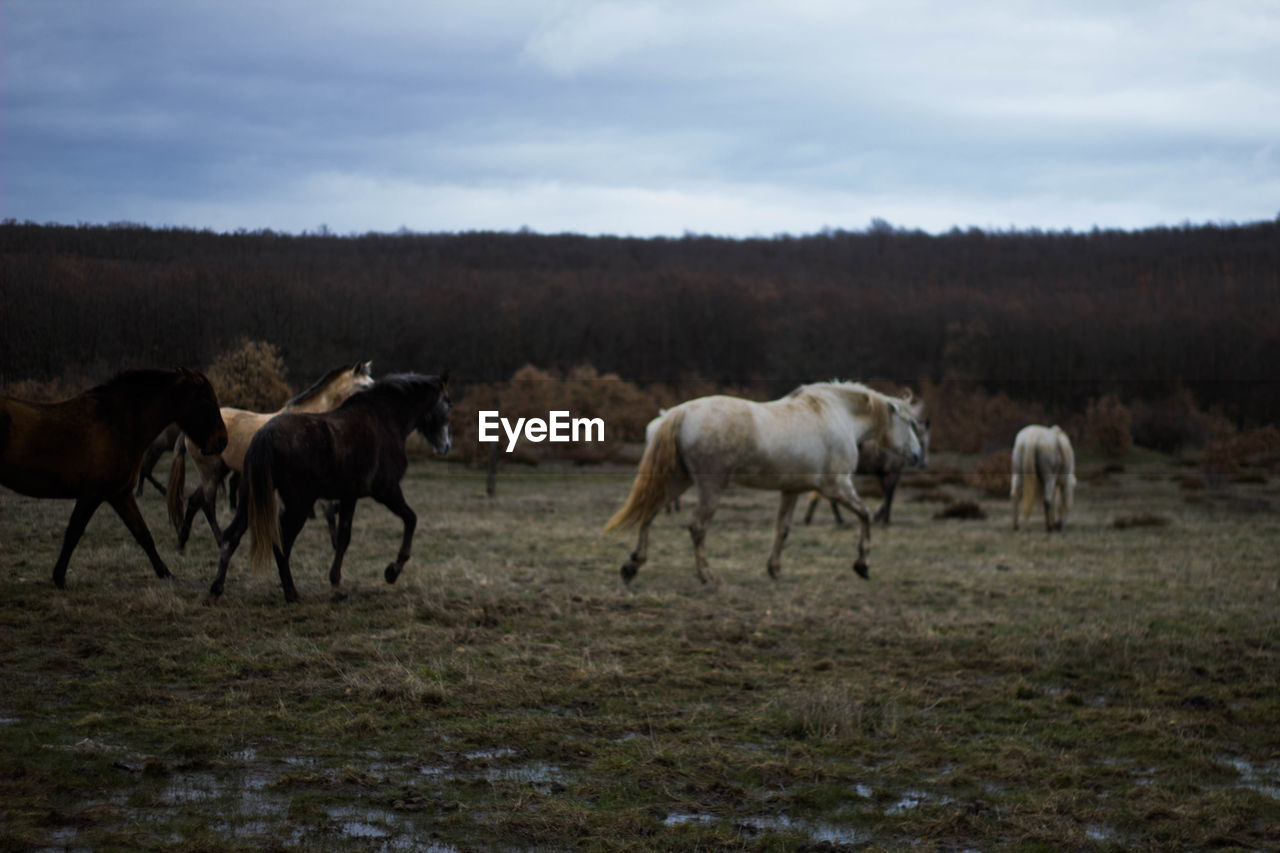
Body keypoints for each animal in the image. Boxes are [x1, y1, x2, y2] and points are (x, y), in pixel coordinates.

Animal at [0, 368, 227, 589]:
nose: (223, 440)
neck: (119, 423)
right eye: (207, 401)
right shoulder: (91, 494)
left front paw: (166, 574)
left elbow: (143, 534)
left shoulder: (120, 494)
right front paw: (59, 578)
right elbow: (73, 533)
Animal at [167, 361, 373, 548]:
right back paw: (219, 541)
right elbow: (327, 511)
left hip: (219, 471)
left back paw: (182, 542)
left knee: (195, 501)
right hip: (210, 472)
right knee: (207, 505)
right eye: (364, 385)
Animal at [208, 368, 450, 601]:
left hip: (252, 498)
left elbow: (343, 538)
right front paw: (392, 571)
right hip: (298, 505)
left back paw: (216, 589)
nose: (446, 446)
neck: (385, 419)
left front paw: (335, 581)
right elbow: (411, 519)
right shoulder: (386, 490)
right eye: (447, 403)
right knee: (282, 543)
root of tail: (264, 436)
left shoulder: (349, 496)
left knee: (231, 536)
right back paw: (291, 593)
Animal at [604, 379, 926, 584]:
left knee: (649, 513)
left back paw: (632, 565)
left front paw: (775, 570)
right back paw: (707, 576)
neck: (836, 415)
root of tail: (680, 412)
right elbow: (866, 515)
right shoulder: (837, 487)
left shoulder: (792, 490)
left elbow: (782, 529)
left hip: (677, 481)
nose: (917, 456)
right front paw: (862, 565)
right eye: (910, 423)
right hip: (711, 487)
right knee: (697, 526)